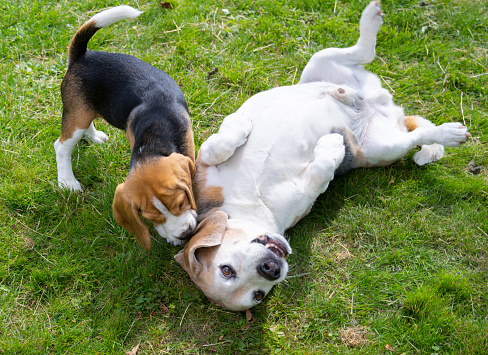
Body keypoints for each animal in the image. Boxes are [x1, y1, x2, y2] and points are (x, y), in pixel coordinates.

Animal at [53, 6, 196, 250]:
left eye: (181, 203)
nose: (185, 234)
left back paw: (95, 137)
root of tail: (82, 56)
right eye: (151, 218)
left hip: (84, 111)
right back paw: (67, 182)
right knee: (61, 146)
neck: (154, 140)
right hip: (77, 115)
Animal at [174, 0, 468, 312]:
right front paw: (332, 148)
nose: (271, 270)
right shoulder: (305, 194)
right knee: (416, 135)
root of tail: (382, 107)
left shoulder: (202, 163)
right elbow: (322, 171)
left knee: (360, 53)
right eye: (258, 295)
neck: (248, 205)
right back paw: (448, 133)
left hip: (318, 63)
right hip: (385, 147)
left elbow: (215, 147)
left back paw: (370, 21)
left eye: (225, 269)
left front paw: (240, 125)